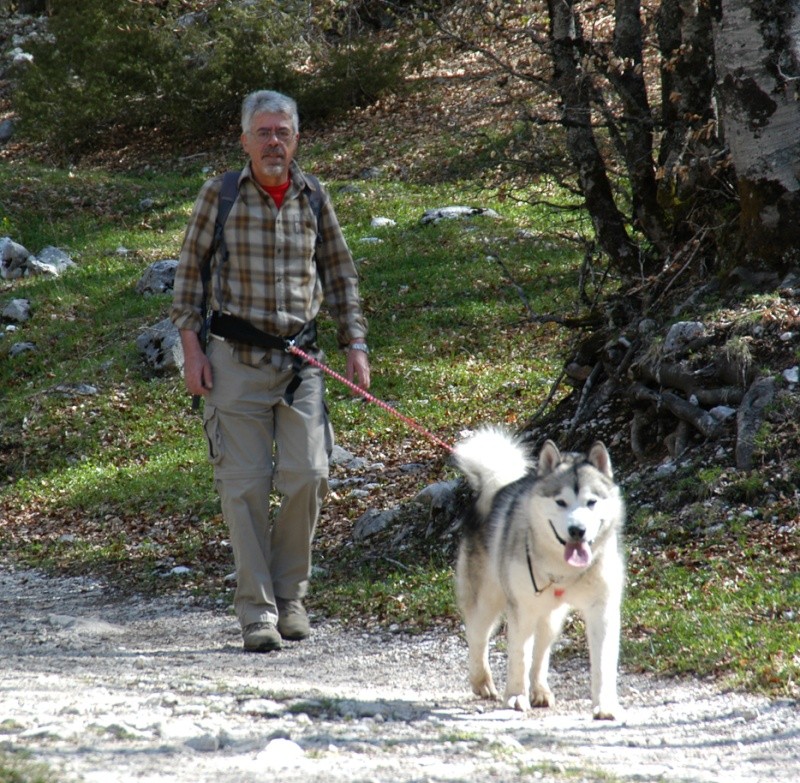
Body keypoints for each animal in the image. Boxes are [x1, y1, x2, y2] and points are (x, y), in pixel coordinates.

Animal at [454, 428, 628, 724]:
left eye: (591, 502)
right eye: (561, 502)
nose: (577, 530)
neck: (564, 569)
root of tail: (499, 488)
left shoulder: (602, 610)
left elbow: (603, 663)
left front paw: (604, 705)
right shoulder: (522, 609)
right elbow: (519, 656)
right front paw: (515, 696)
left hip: (552, 617)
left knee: (541, 652)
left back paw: (539, 690)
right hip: (486, 602)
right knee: (478, 638)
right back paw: (482, 681)